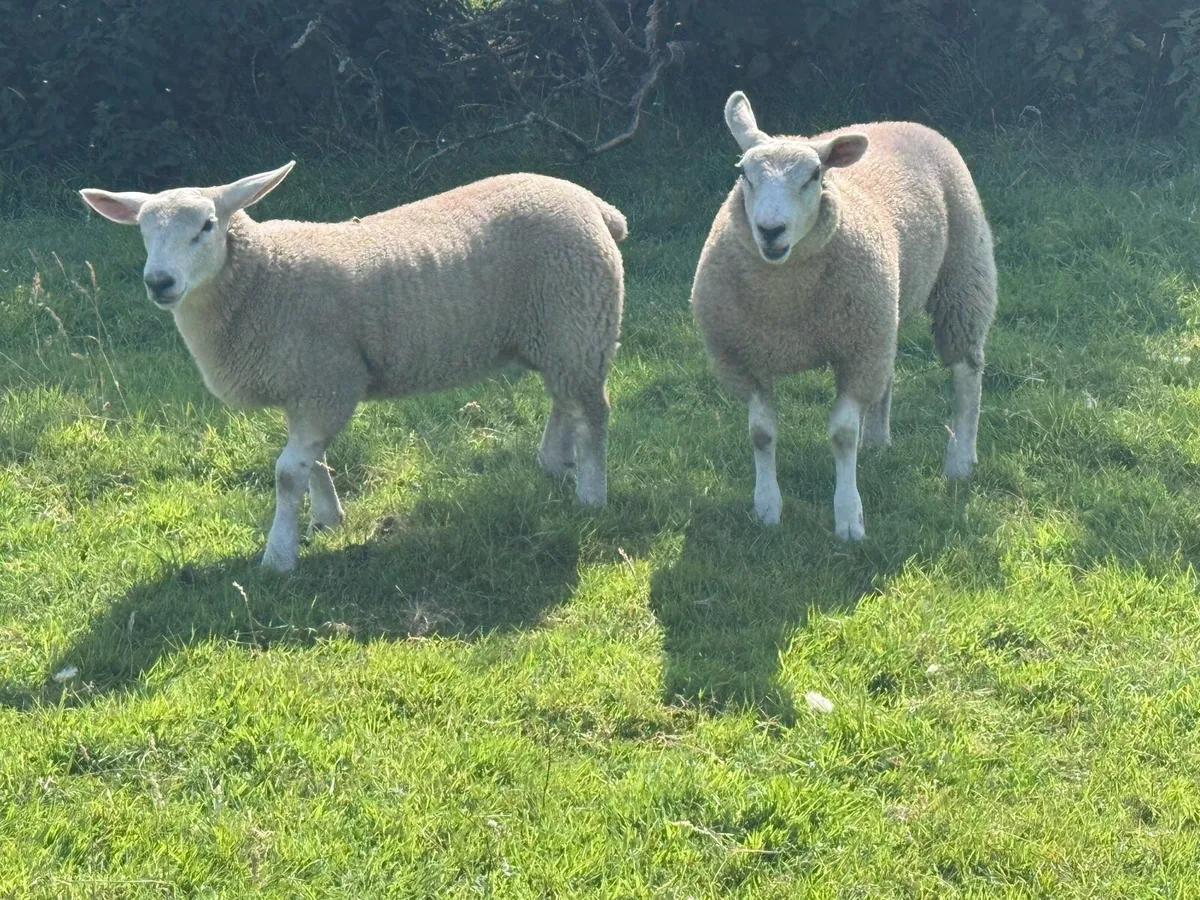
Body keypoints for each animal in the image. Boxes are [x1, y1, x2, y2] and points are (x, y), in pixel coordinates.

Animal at [80, 163, 627, 571]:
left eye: (207, 226)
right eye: (142, 231)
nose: (159, 282)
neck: (261, 281)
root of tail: (595, 205)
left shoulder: (326, 382)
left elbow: (287, 473)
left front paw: (279, 556)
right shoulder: (306, 385)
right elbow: (312, 462)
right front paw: (326, 519)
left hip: (580, 316)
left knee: (594, 410)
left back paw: (591, 494)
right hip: (557, 332)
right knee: (564, 398)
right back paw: (556, 462)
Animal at [690, 92, 997, 540]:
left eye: (815, 175)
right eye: (744, 173)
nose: (770, 230)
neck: (785, 299)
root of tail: (898, 121)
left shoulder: (856, 351)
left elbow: (842, 435)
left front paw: (849, 517)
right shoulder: (746, 359)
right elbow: (761, 434)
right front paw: (766, 507)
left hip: (962, 274)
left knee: (966, 375)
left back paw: (960, 460)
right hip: (884, 314)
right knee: (889, 372)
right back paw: (879, 440)